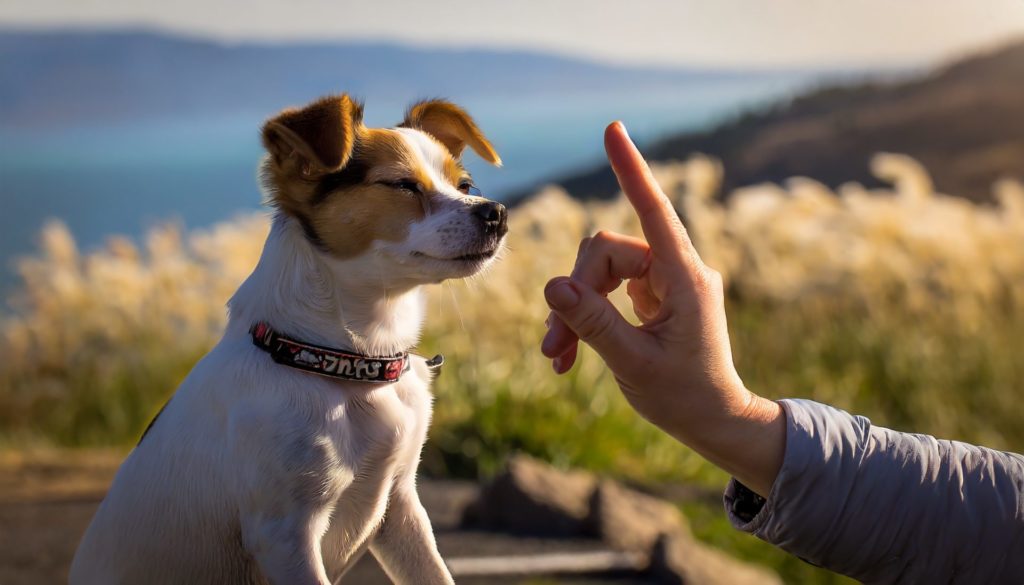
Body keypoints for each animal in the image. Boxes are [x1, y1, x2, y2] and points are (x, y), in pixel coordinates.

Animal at [68, 93, 507, 581]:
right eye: (403, 185)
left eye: (465, 185)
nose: (495, 212)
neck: (345, 364)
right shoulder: (285, 535)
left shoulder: (401, 506)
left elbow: (434, 571)